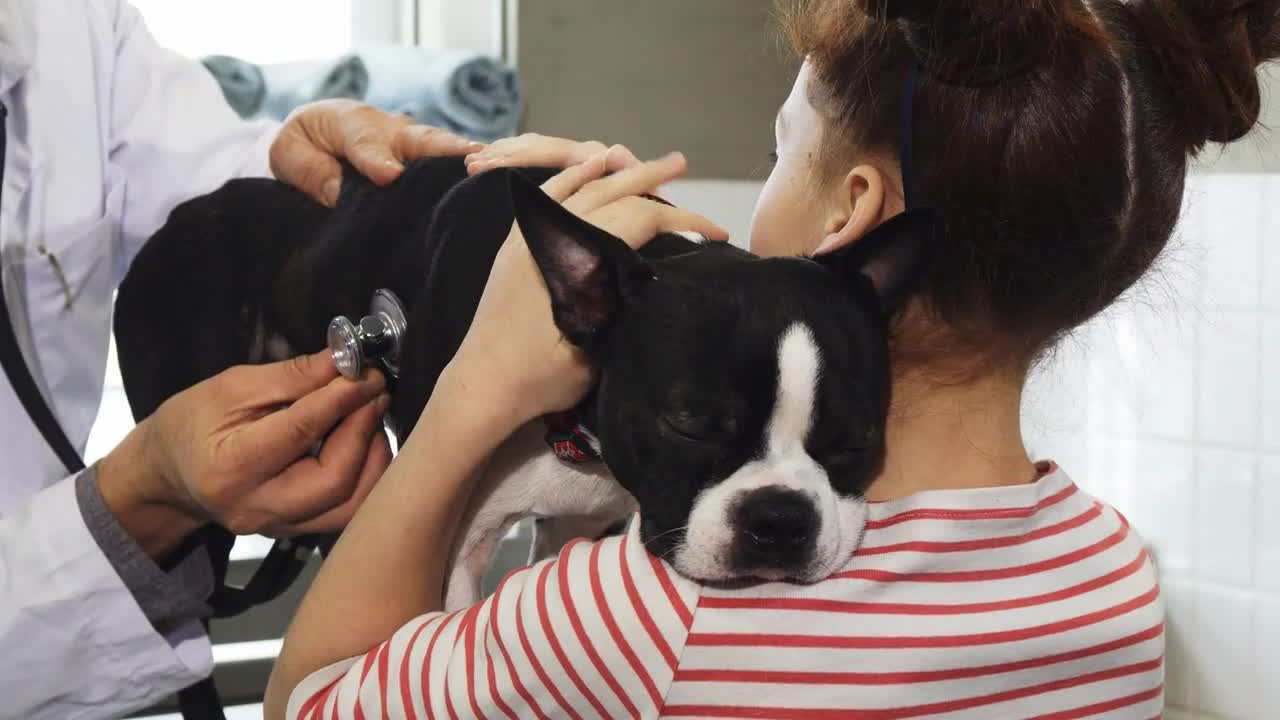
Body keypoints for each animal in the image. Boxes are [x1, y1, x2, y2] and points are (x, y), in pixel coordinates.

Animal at [112, 154, 931, 607]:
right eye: (689, 425)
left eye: (857, 441)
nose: (779, 519)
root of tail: (187, 210)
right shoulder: (454, 540)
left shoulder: (580, 526)